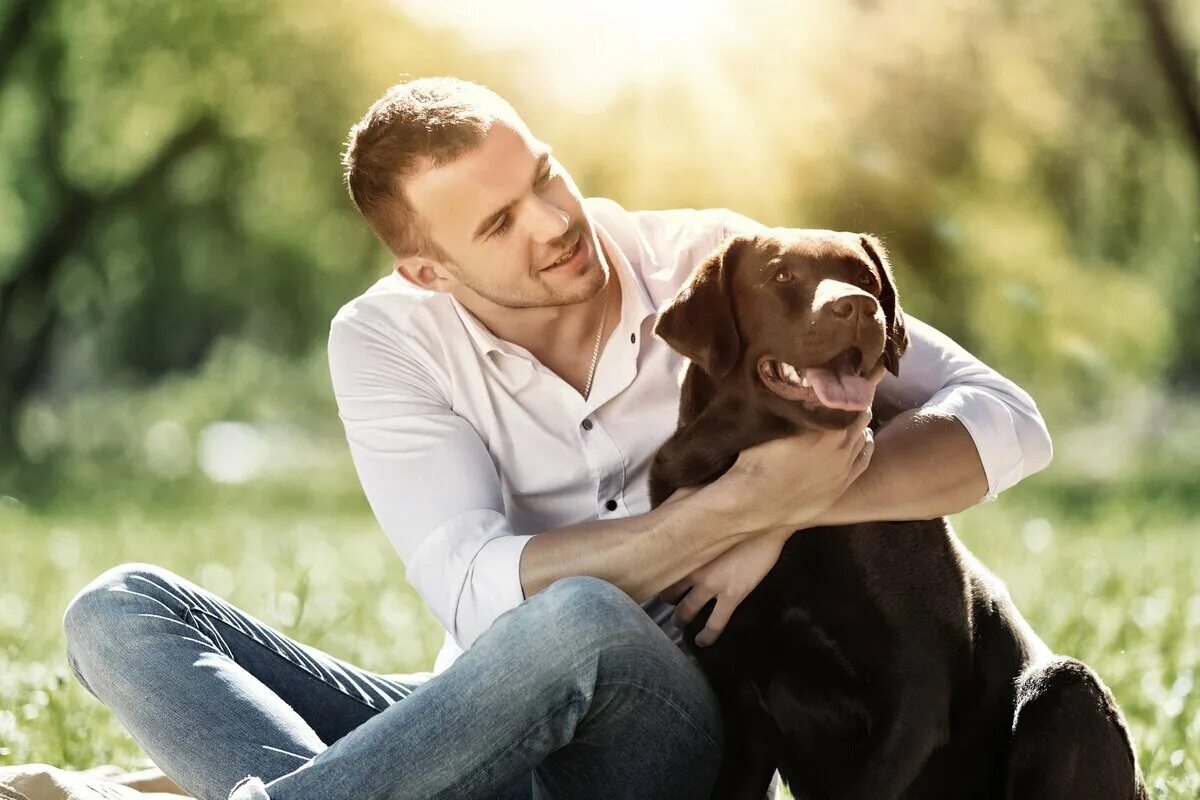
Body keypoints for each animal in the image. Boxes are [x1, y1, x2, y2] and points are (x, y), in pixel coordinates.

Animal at [648, 231, 1142, 800]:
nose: (860, 307)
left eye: (865, 279)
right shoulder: (738, 697)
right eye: (781, 276)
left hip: (1065, 691)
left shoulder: (916, 687)